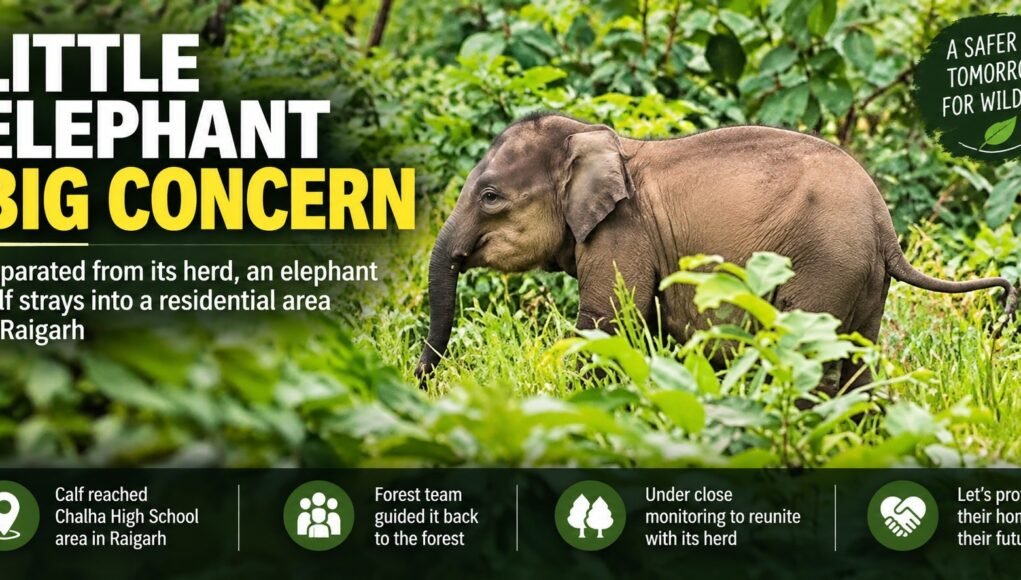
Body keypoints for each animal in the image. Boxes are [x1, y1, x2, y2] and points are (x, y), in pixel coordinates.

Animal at [414, 112, 1018, 391]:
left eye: (490, 196)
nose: (421, 384)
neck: (594, 135)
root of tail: (884, 224)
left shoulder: (623, 232)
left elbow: (608, 322)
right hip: (864, 282)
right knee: (855, 363)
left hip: (827, 264)